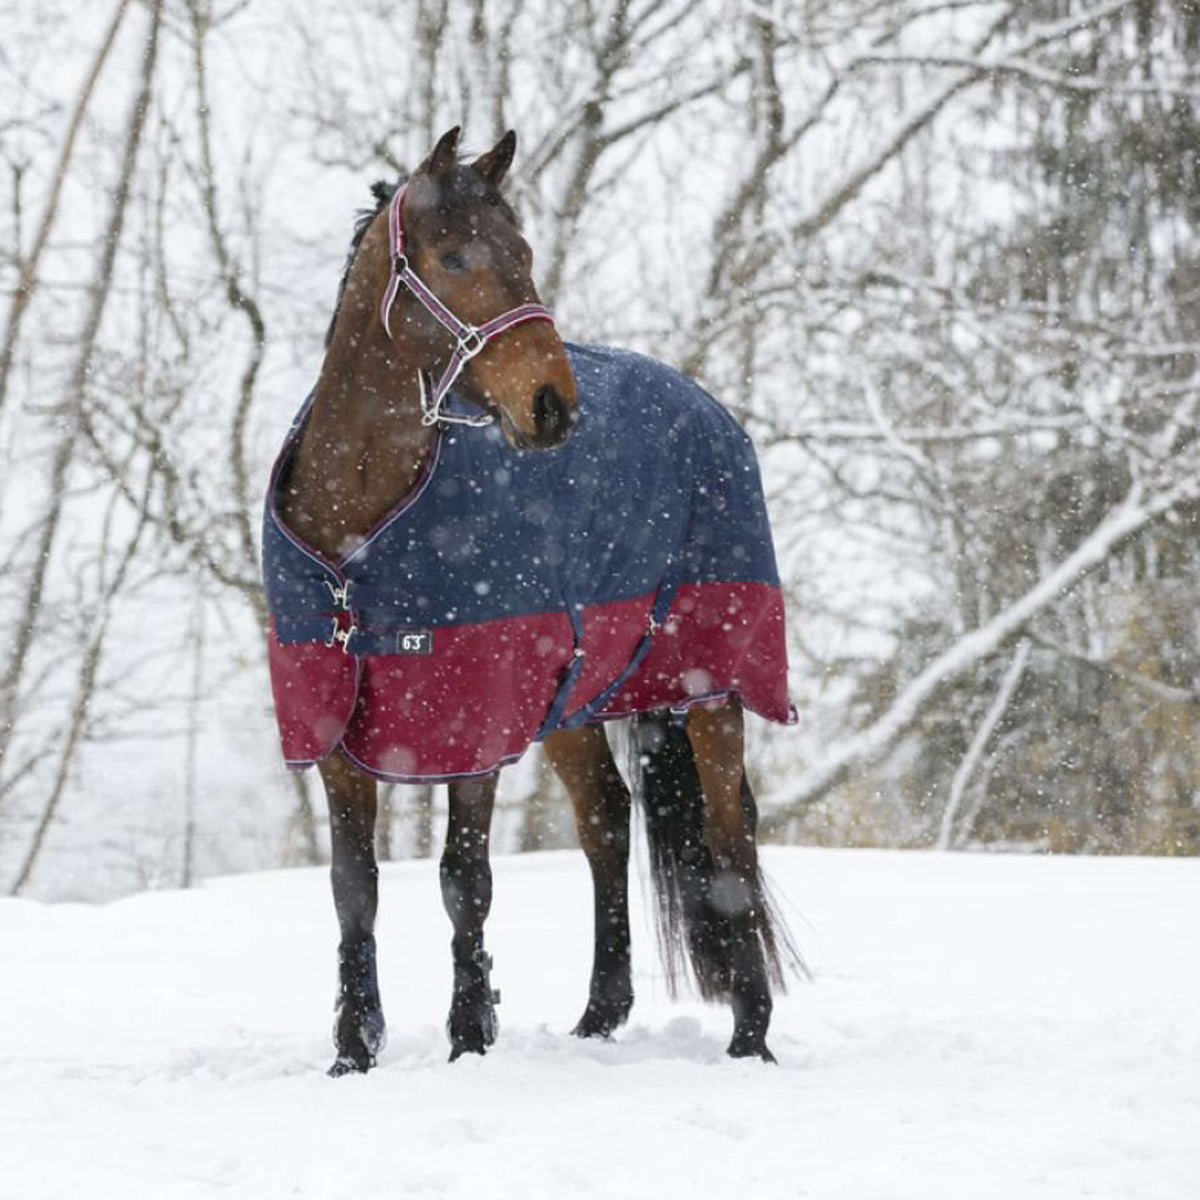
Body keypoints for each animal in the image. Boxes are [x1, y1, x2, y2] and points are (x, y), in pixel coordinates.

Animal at [267, 126, 801, 1075]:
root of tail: (706, 407)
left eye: (523, 254)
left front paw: (469, 1037)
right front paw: (353, 1052)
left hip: (713, 683)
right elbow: (353, 888)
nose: (552, 406)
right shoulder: (330, 724)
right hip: (576, 701)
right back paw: (599, 1016)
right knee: (608, 822)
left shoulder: (469, 721)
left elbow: (463, 880)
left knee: (729, 836)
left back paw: (751, 1036)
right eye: (454, 256)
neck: (358, 528)